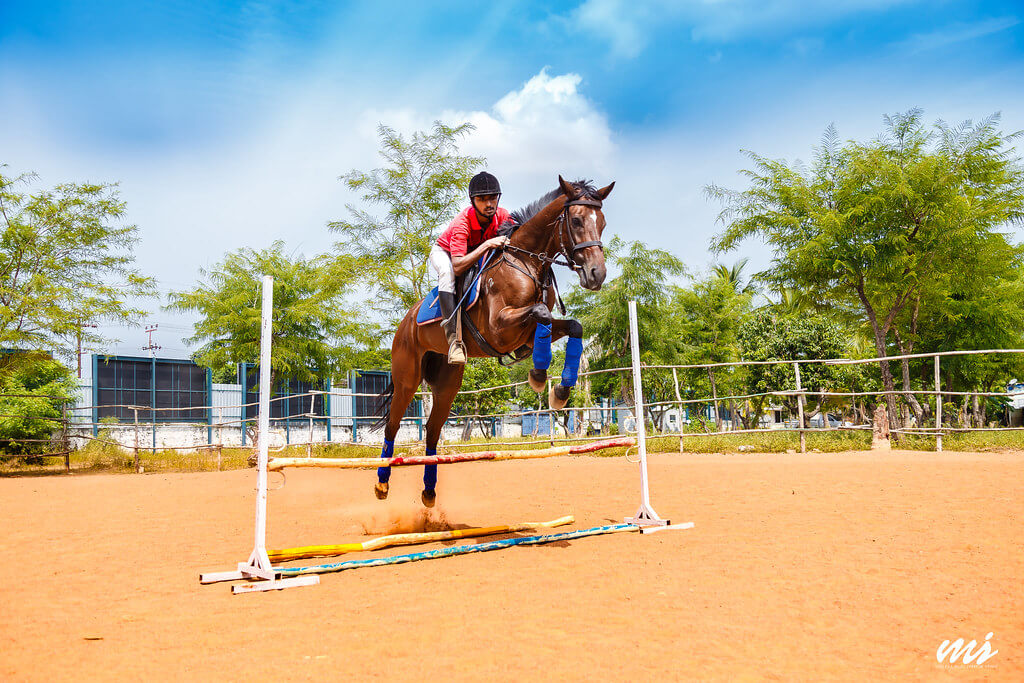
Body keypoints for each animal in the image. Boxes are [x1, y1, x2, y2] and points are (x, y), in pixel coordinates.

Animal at [376, 176, 614, 507]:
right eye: (577, 220)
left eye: (602, 222)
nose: (597, 274)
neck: (526, 261)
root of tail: (406, 321)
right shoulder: (499, 327)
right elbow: (540, 312)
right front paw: (539, 376)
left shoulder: (531, 329)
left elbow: (572, 326)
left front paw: (559, 390)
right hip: (407, 378)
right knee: (393, 425)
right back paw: (382, 484)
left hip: (447, 383)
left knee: (433, 430)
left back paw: (429, 491)